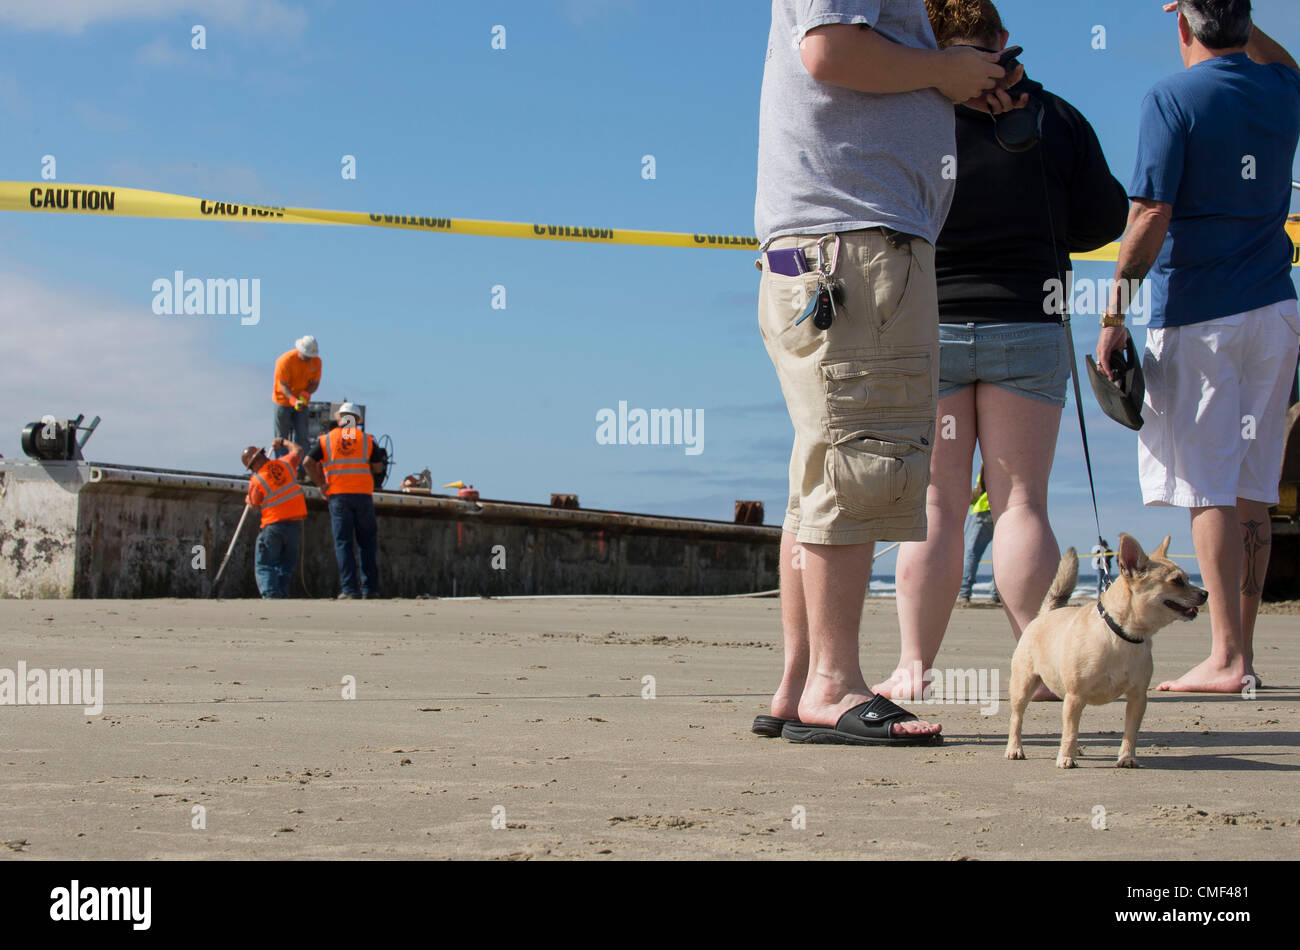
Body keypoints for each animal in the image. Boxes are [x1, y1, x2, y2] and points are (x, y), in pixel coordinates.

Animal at [1003, 535, 1206, 774]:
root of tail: (1047, 613)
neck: (1121, 635)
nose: (1205, 593)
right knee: (1017, 717)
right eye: (1177, 581)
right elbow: (1070, 731)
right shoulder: (1075, 697)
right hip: (1023, 685)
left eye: (1188, 579)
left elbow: (1130, 732)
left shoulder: (1137, 698)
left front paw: (1127, 757)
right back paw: (1015, 748)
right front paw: (1066, 757)